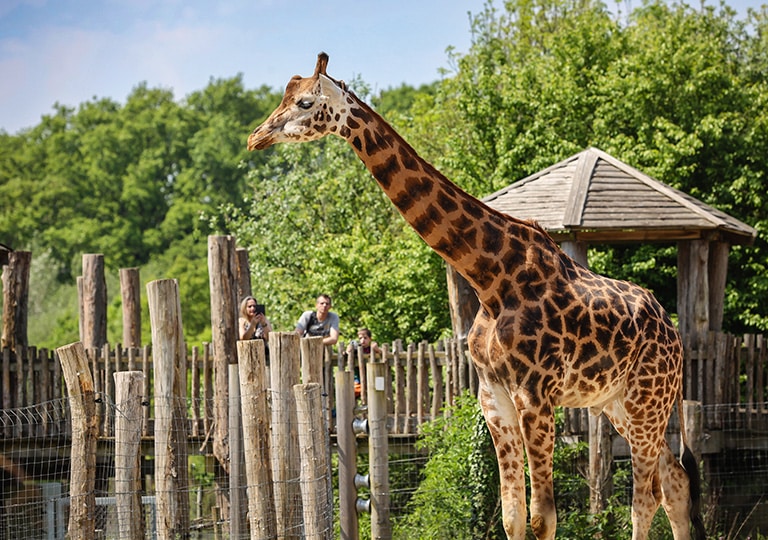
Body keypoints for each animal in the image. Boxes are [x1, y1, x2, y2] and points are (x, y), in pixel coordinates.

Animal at [247, 53, 705, 540]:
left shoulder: (535, 395)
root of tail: (675, 335)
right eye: (284, 96)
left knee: (647, 497)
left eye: (305, 101)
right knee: (675, 482)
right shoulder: (494, 398)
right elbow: (512, 515)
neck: (491, 279)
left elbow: (543, 517)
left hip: (646, 399)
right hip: (618, 403)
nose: (256, 136)